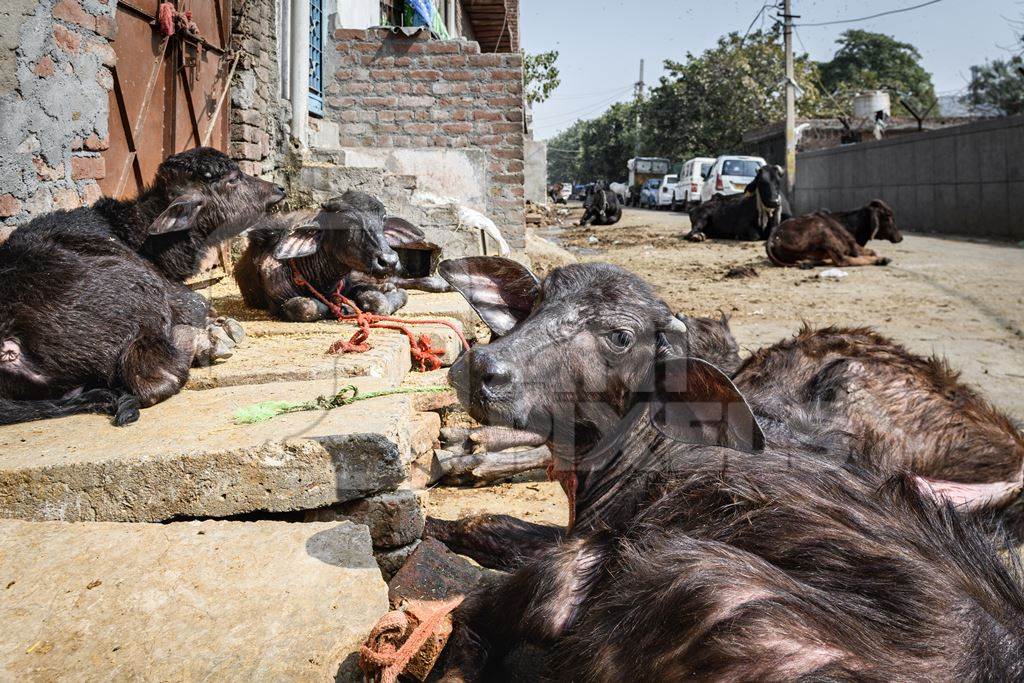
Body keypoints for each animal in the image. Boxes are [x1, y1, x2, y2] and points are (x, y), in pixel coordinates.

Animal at [765, 202, 901, 266]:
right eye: (888, 217)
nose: (900, 237)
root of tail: (773, 239)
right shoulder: (853, 245)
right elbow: (871, 251)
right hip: (826, 235)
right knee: (842, 261)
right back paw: (882, 260)